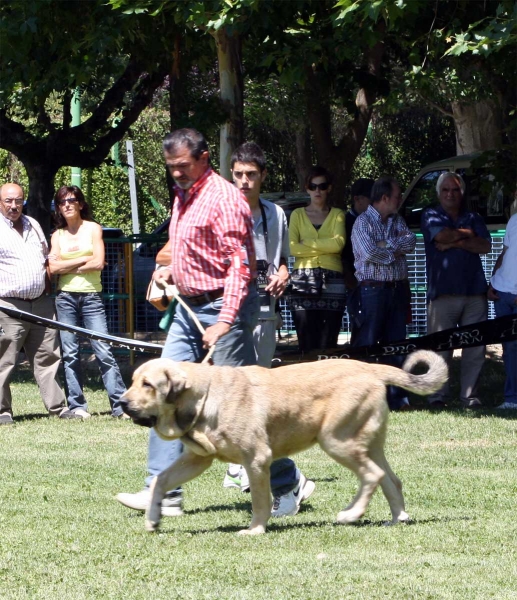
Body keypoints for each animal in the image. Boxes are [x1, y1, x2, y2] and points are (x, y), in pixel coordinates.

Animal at [119, 350, 446, 536]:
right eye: (133, 381)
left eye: (148, 385)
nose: (122, 403)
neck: (204, 396)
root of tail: (370, 368)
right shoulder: (197, 459)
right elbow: (161, 480)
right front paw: (153, 518)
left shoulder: (257, 459)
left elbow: (260, 501)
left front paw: (255, 530)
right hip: (369, 444)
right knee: (391, 479)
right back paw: (397, 519)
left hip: (336, 440)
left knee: (373, 476)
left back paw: (351, 514)